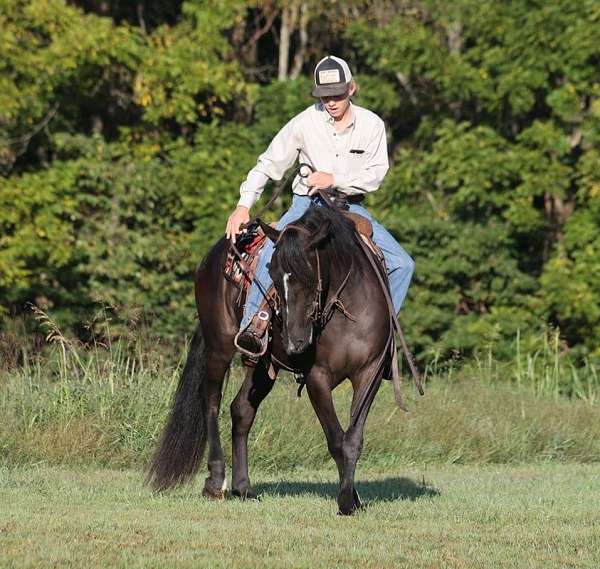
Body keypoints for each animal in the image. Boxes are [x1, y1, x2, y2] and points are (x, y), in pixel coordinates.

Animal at [148, 202, 406, 512]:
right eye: (271, 274)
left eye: (309, 275)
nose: (295, 342)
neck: (345, 310)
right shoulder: (317, 377)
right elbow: (336, 440)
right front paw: (345, 501)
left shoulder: (370, 374)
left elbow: (352, 439)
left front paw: (352, 498)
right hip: (219, 346)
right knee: (210, 401)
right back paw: (216, 481)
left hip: (262, 365)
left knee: (241, 410)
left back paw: (243, 487)